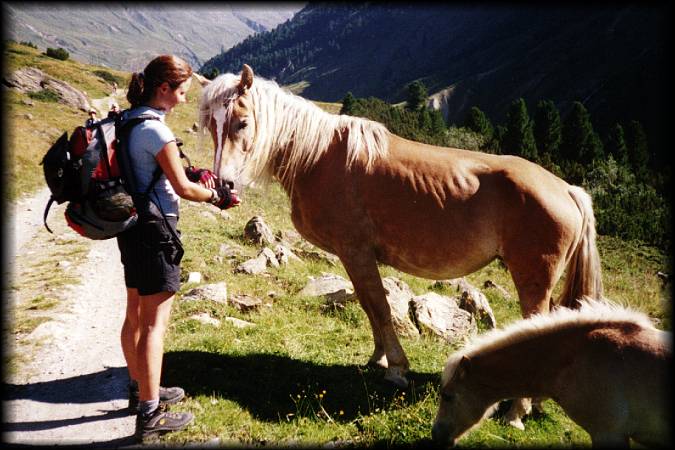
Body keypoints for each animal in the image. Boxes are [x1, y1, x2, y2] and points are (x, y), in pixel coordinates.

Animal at [193, 63, 604, 422]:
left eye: (243, 122)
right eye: (210, 125)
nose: (224, 186)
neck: (317, 156)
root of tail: (567, 189)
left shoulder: (357, 251)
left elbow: (379, 305)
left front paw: (396, 368)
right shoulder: (352, 256)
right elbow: (368, 305)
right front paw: (377, 359)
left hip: (534, 279)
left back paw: (516, 412)